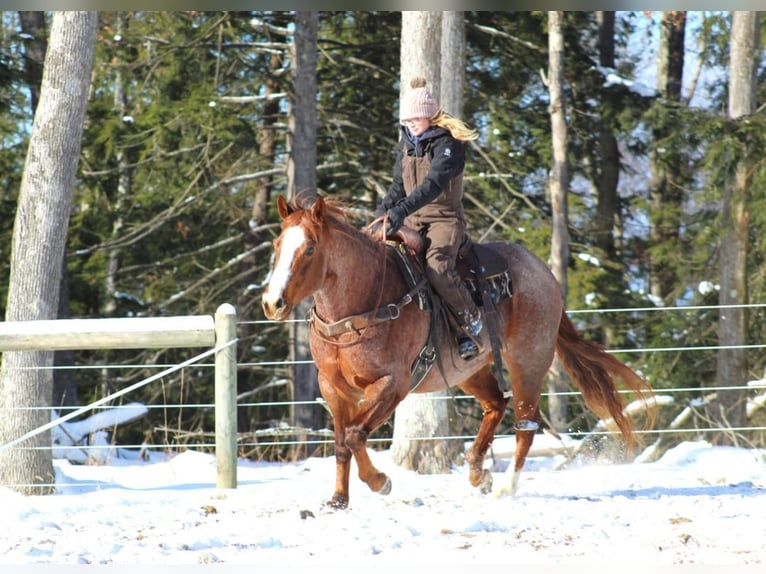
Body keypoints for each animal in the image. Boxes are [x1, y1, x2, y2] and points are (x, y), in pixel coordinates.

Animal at [262, 196, 656, 510]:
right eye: (278, 243)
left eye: (310, 248)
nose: (272, 302)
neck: (365, 302)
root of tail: (544, 273)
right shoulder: (334, 389)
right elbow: (342, 442)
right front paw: (338, 500)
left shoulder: (392, 385)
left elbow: (356, 434)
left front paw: (380, 482)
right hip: (469, 370)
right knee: (495, 405)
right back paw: (479, 474)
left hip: (528, 362)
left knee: (525, 424)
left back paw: (506, 486)